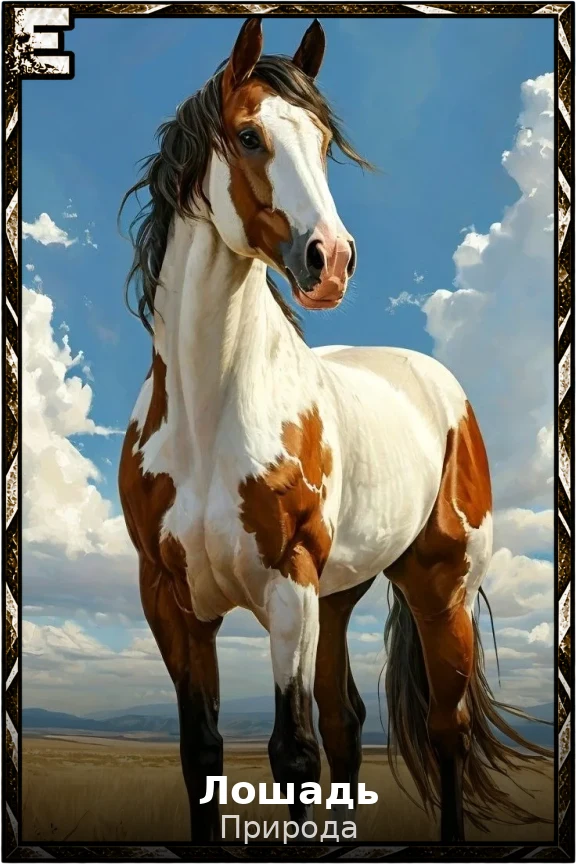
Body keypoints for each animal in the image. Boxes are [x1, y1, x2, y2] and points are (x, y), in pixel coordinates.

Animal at [118, 17, 551, 844]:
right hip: (341, 595)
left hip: (440, 590)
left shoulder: (288, 585)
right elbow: (202, 751)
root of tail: (442, 387)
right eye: (249, 135)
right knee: (349, 722)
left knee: (444, 731)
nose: (333, 262)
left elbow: (292, 751)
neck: (207, 419)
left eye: (322, 143)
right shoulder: (172, 601)